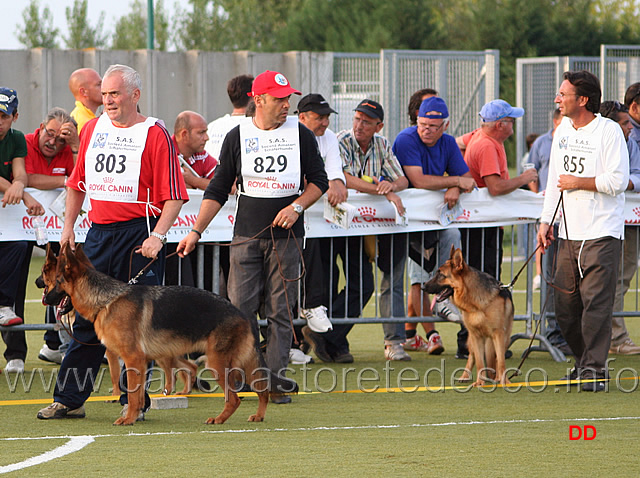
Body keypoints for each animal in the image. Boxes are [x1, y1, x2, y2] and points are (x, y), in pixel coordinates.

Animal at [39, 243, 298, 426]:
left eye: (56, 282)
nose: (44, 297)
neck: (107, 299)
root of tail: (242, 314)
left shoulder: (133, 360)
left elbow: (132, 395)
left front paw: (128, 418)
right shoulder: (137, 361)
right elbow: (137, 395)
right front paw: (134, 416)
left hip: (217, 364)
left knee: (235, 398)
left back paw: (219, 419)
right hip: (242, 362)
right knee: (262, 389)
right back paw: (258, 415)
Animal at [424, 248, 516, 386]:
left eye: (441, 275)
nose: (422, 286)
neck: (476, 303)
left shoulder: (498, 334)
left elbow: (500, 360)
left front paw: (504, 381)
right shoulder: (476, 336)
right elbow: (479, 362)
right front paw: (480, 382)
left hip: (504, 339)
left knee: (497, 357)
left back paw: (497, 378)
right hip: (473, 340)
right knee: (472, 356)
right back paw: (465, 376)